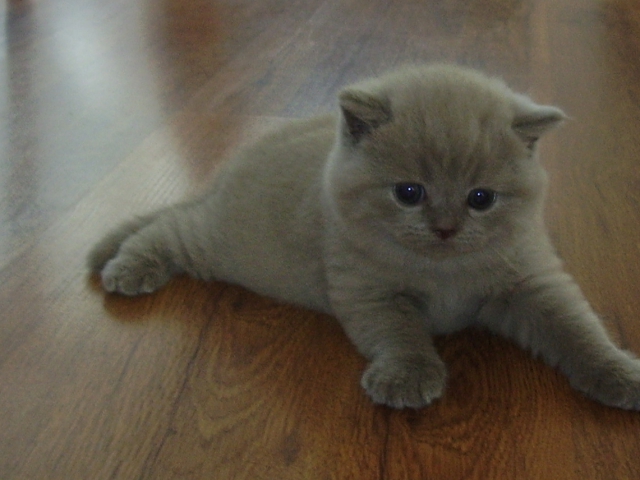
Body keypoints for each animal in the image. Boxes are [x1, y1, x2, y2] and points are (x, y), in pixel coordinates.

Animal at [89, 62, 640, 408]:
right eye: (409, 192)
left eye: (481, 198)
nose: (445, 227)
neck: (444, 272)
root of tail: (226, 172)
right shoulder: (369, 291)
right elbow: (400, 332)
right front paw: (408, 376)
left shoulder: (532, 281)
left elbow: (576, 328)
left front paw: (618, 373)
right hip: (226, 242)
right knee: (171, 228)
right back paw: (129, 266)